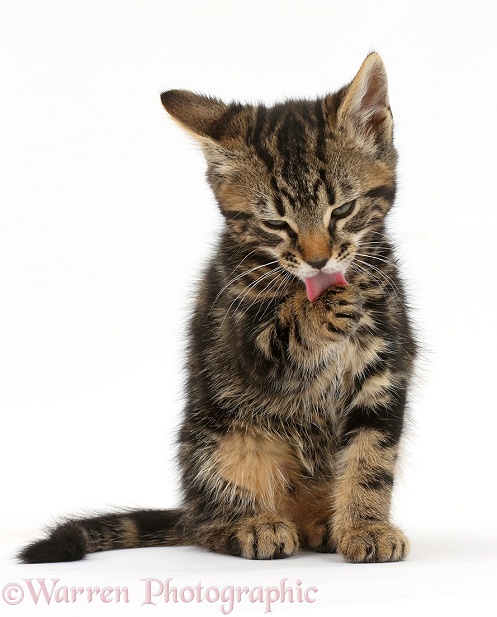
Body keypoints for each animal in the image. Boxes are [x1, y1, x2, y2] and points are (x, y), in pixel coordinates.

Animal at [18, 53, 414, 564]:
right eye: (276, 223)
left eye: (342, 210)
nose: (318, 260)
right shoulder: (239, 336)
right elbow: (278, 343)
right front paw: (319, 311)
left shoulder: (386, 367)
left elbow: (371, 460)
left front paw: (366, 526)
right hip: (219, 438)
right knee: (208, 521)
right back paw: (253, 525)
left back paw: (323, 522)